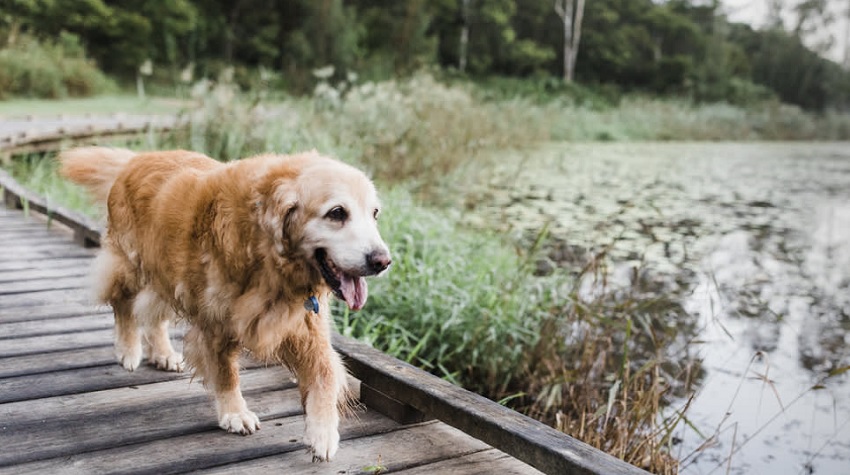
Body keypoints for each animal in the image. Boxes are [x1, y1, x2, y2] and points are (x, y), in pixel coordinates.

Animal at [59, 148, 390, 462]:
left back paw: (163, 353)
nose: (383, 261)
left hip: (167, 275)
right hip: (131, 265)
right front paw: (234, 412)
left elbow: (325, 373)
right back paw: (128, 349)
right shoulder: (216, 322)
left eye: (374, 213)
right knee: (124, 305)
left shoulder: (306, 325)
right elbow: (225, 373)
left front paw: (323, 433)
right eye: (337, 213)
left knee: (153, 315)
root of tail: (136, 158)